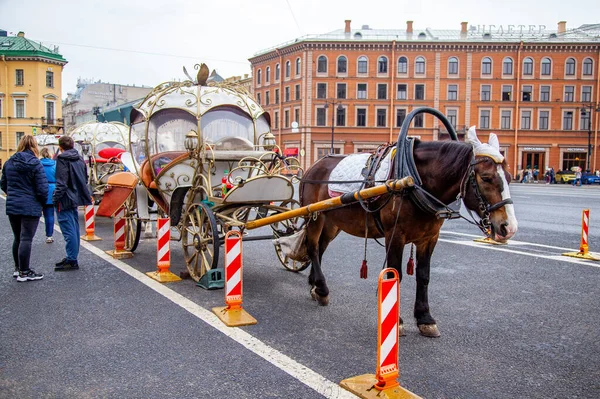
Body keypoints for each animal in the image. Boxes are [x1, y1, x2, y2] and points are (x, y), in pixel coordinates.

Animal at [298, 126, 516, 338]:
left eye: (509, 177)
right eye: (486, 178)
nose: (509, 227)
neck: (413, 181)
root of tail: (313, 166)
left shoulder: (429, 238)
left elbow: (424, 275)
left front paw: (425, 318)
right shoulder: (395, 235)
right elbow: (395, 274)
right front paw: (398, 322)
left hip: (333, 223)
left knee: (320, 247)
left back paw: (314, 285)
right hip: (314, 216)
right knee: (313, 248)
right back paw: (322, 289)